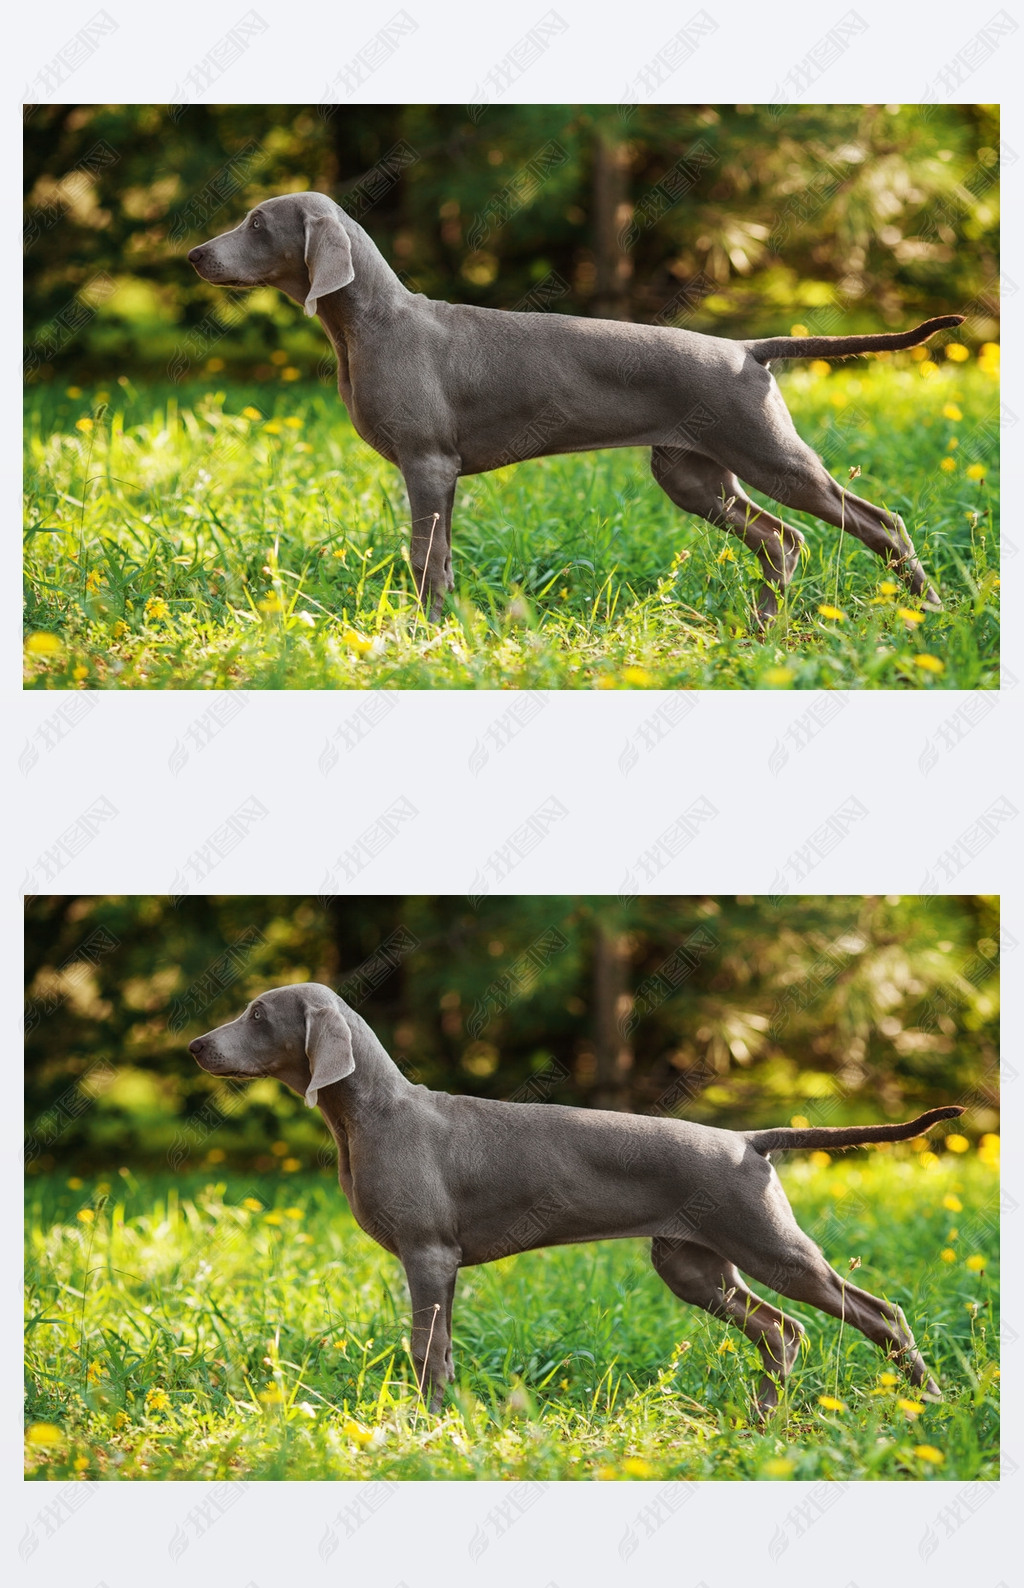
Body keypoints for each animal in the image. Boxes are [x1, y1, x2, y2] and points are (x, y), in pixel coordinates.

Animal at [187, 188, 965, 622]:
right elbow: (440, 559)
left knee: (880, 523)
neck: (370, 324)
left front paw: (424, 633)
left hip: (770, 454)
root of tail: (748, 348)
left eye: (256, 222)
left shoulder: (428, 465)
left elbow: (424, 558)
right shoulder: (438, 473)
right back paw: (765, 626)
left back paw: (927, 609)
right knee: (780, 538)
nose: (194, 254)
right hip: (693, 474)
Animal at [187, 978, 965, 1416]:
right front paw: (443, 1419)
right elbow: (440, 1349)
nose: (195, 1045)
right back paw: (766, 1416)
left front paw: (424, 1424)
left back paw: (926, 1400)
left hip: (771, 1246)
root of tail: (748, 1139)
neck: (371, 1115)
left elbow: (425, 1349)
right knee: (780, 1329)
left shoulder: (428, 1256)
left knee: (880, 1314)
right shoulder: (439, 1264)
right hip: (693, 1265)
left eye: (257, 1014)